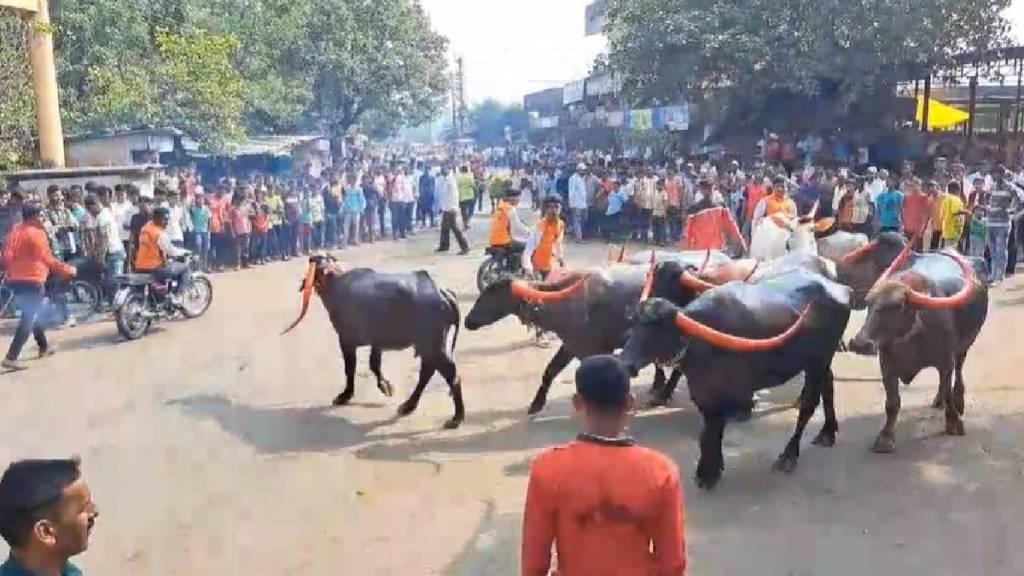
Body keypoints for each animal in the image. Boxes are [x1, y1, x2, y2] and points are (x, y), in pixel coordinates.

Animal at [280, 253, 464, 428]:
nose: (313, 257)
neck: (336, 285)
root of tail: (442, 292)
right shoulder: (377, 341)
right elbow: (374, 364)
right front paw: (386, 386)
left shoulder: (346, 340)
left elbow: (350, 369)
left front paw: (345, 395)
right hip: (428, 345)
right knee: (428, 371)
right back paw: (408, 406)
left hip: (433, 345)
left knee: (450, 374)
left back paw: (456, 417)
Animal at [618, 266, 851, 485]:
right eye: (636, 324)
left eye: (659, 329)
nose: (626, 363)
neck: (702, 345)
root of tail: (841, 289)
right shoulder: (703, 393)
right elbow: (709, 431)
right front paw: (709, 468)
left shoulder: (727, 393)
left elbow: (715, 428)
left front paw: (708, 474)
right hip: (820, 361)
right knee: (828, 385)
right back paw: (828, 432)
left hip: (818, 360)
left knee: (809, 405)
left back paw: (789, 456)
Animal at [851, 249, 987, 455]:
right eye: (869, 303)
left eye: (896, 306)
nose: (859, 343)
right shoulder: (887, 364)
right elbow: (892, 402)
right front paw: (885, 437)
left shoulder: (946, 361)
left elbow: (948, 389)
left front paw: (954, 422)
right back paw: (939, 401)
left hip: (965, 345)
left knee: (958, 373)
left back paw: (959, 401)